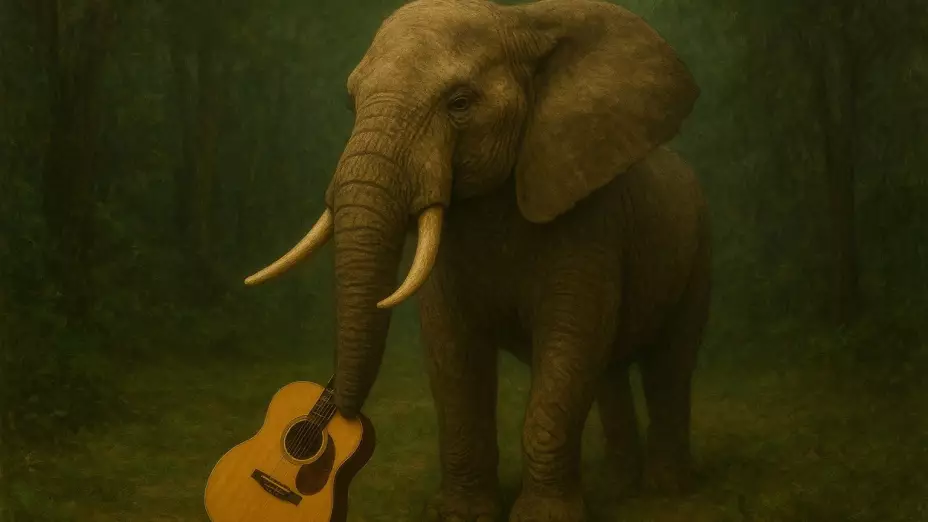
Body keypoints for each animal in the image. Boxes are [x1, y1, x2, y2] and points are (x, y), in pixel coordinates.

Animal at [246, 0, 709, 520]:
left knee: (670, 364)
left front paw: (544, 517)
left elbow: (570, 344)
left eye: (460, 104)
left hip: (699, 246)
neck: (523, 19)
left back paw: (668, 490)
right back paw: (617, 486)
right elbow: (453, 355)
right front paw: (462, 513)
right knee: (610, 372)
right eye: (351, 103)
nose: (338, 425)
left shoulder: (590, 220)